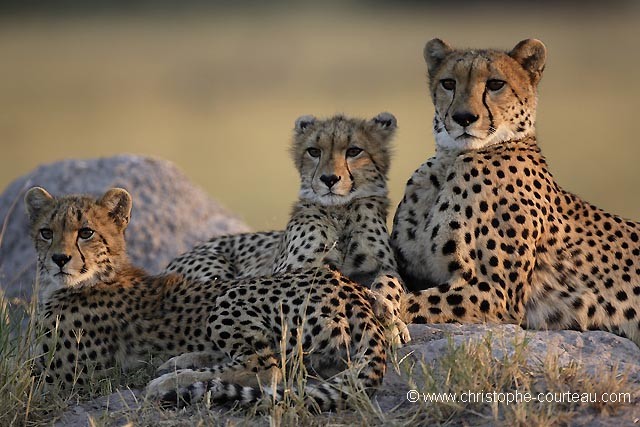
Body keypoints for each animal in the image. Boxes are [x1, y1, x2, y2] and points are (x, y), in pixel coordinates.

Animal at [26, 187, 390, 412]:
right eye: (46, 232)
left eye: (85, 232)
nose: (59, 259)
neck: (100, 273)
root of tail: (349, 287)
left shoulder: (61, 380)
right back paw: (180, 362)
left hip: (230, 295)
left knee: (266, 368)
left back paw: (170, 381)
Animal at [390, 38, 640, 346]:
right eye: (448, 83)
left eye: (496, 84)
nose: (463, 117)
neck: (453, 159)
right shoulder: (408, 267)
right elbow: (381, 283)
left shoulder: (496, 293)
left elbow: (406, 301)